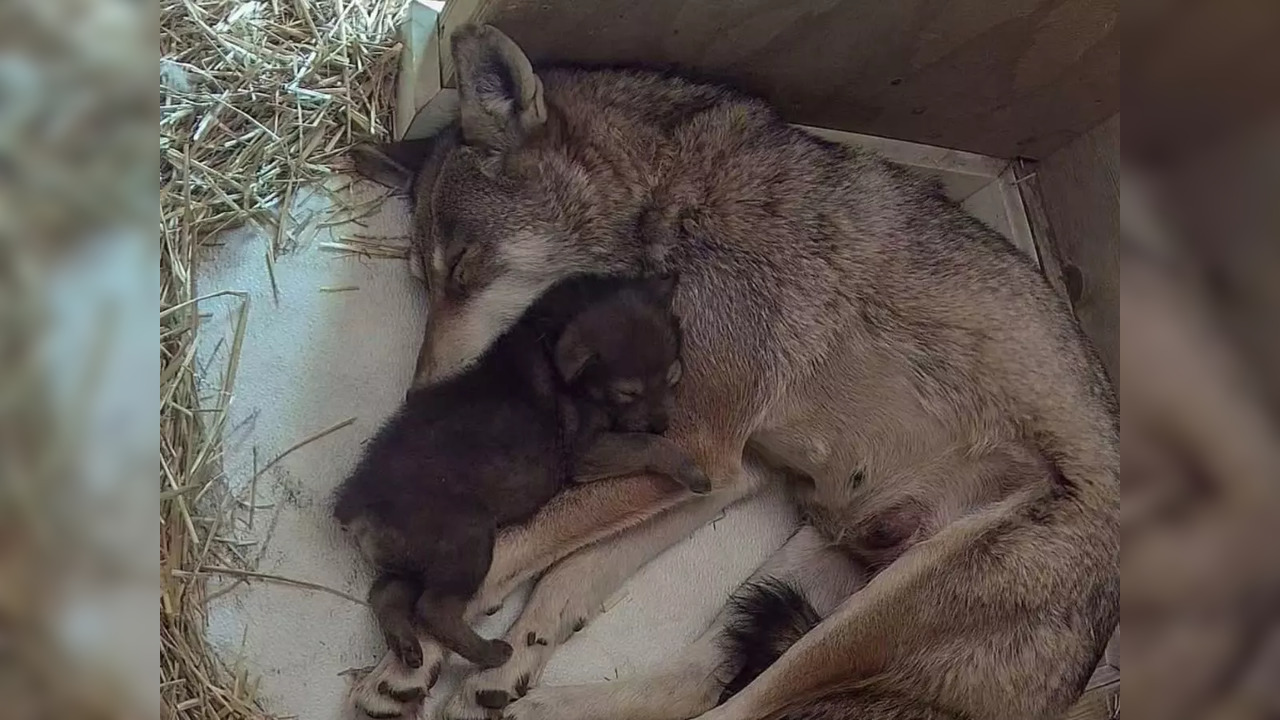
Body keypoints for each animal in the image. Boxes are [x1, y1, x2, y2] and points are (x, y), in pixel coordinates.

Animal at [350, 22, 1121, 717]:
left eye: (464, 271)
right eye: (423, 282)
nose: (419, 398)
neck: (672, 201)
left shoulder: (699, 449)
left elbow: (516, 542)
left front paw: (422, 635)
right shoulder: (723, 472)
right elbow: (562, 560)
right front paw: (458, 661)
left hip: (870, 611)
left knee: (741, 705)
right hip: (793, 573)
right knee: (693, 678)